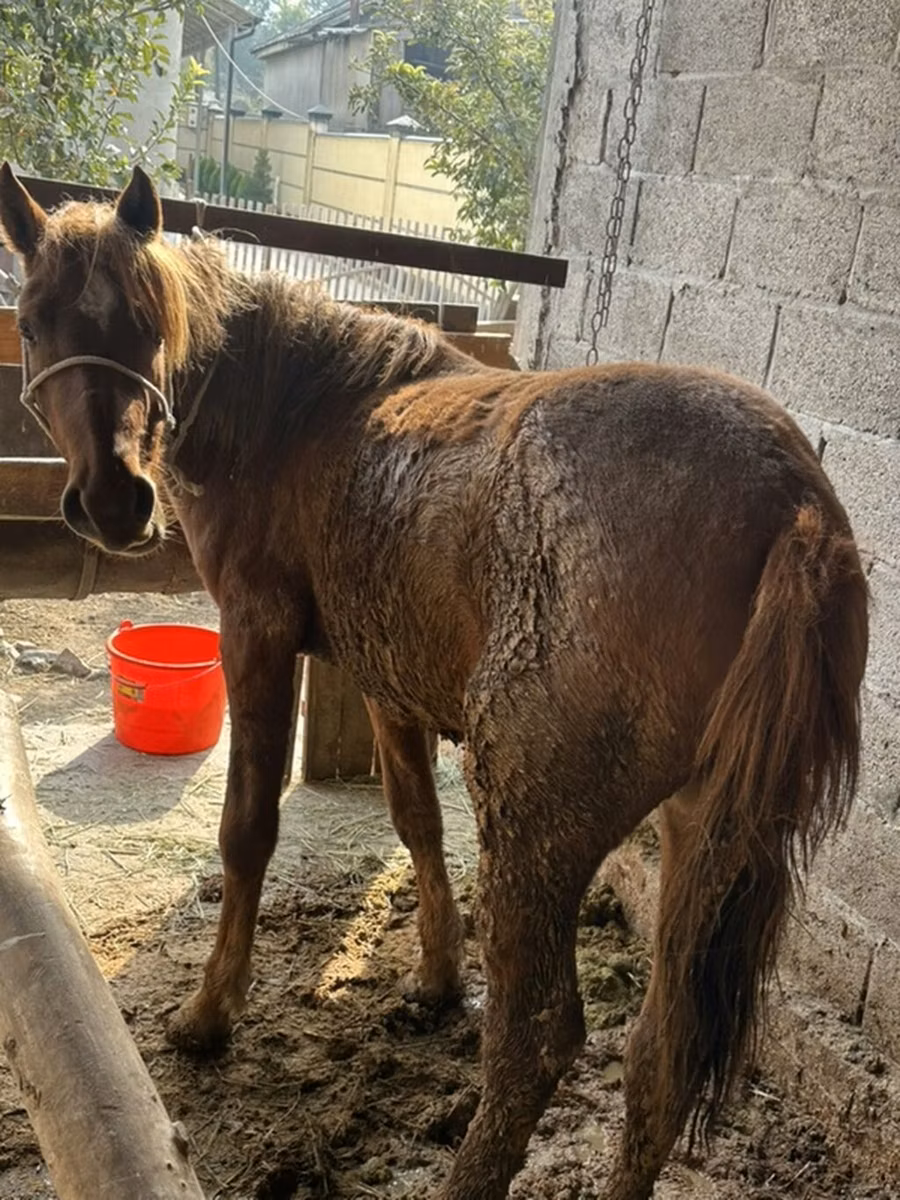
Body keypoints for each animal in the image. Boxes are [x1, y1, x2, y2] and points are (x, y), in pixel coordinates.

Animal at [0, 163, 868, 1200]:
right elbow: (416, 819)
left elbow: (248, 830)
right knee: (659, 1054)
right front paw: (435, 979)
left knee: (538, 1041)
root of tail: (793, 503)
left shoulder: (257, 634)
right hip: (705, 832)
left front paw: (210, 1014)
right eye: (34, 324)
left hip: (537, 820)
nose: (115, 503)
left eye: (147, 320)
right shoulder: (387, 676)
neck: (302, 412)